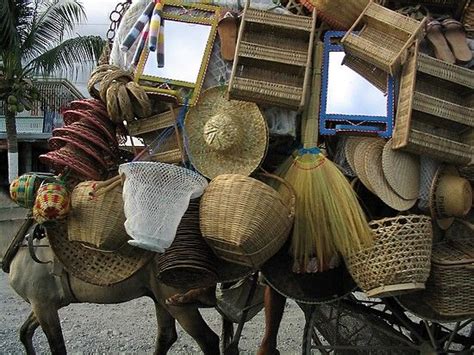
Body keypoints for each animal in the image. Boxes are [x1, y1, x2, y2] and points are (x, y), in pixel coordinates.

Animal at [4, 224, 220, 354]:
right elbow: (25, 332)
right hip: (161, 299)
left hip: (178, 303)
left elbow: (56, 346)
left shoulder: (43, 305)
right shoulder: (42, 304)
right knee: (166, 336)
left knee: (208, 340)